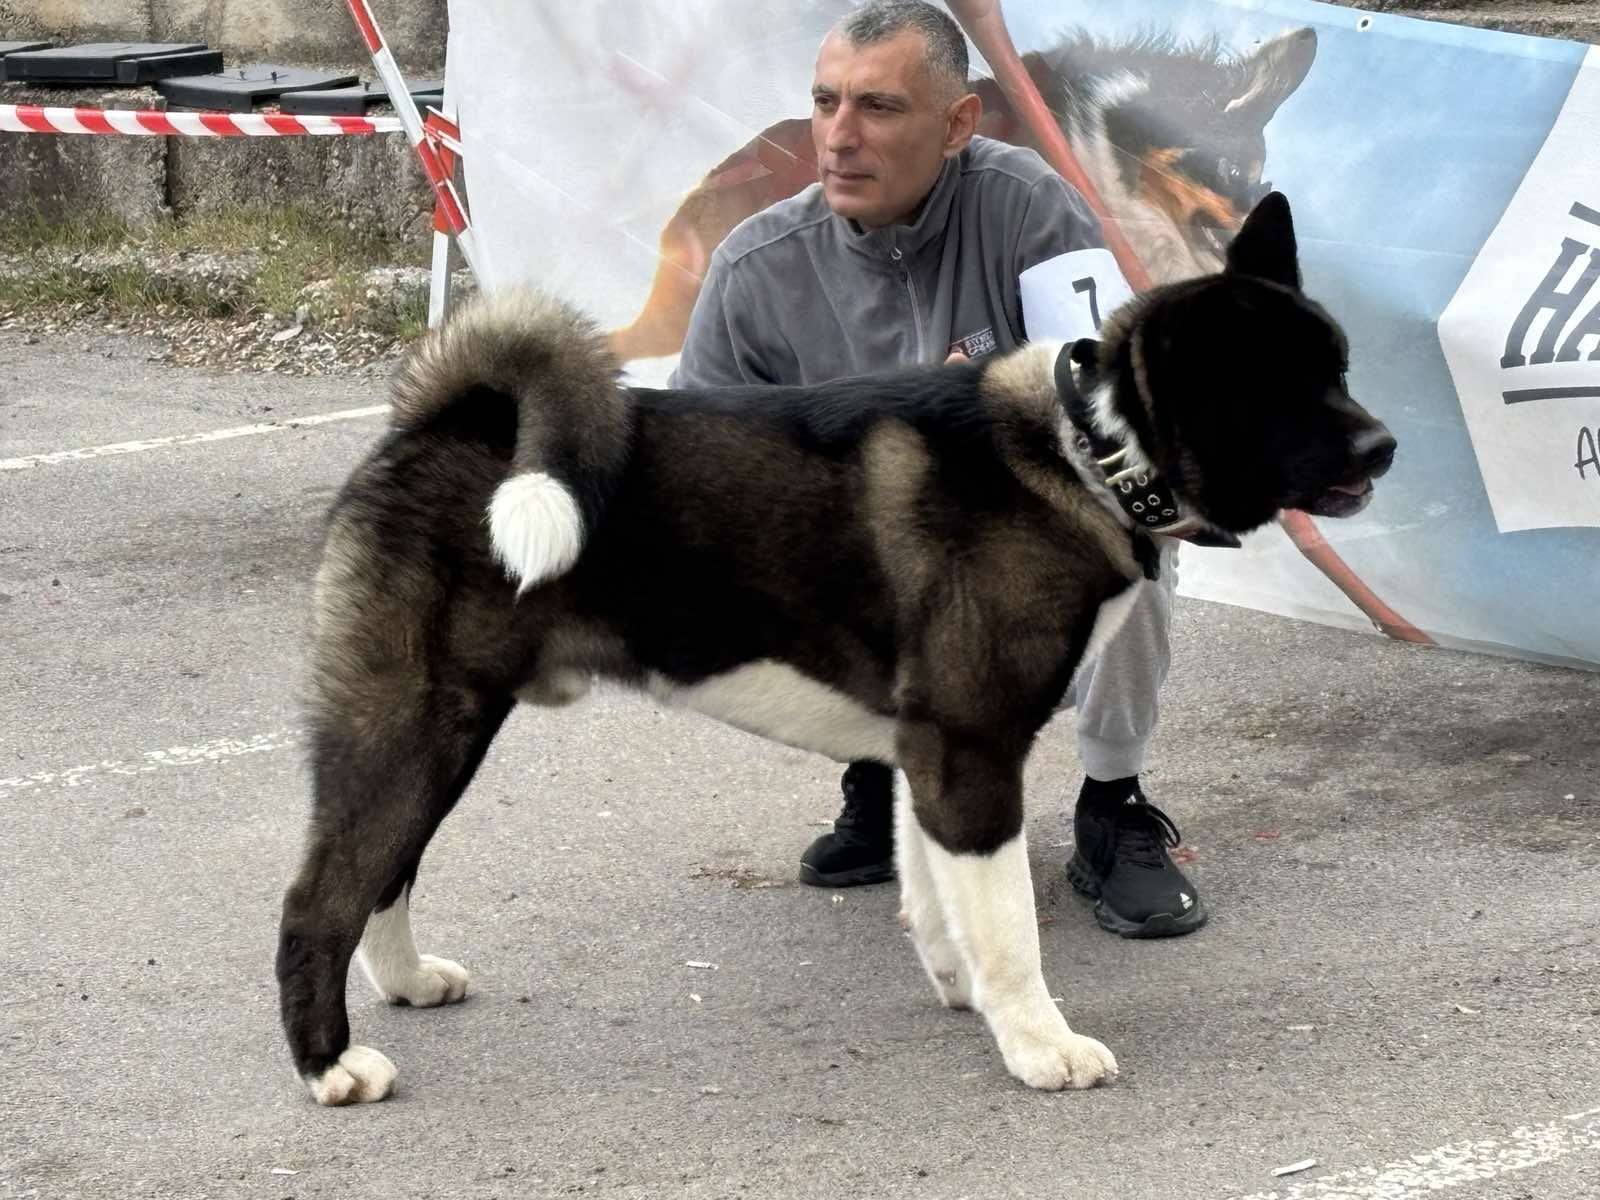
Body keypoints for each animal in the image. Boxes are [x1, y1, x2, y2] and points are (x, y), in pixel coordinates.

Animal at [276, 192, 1395, 1104]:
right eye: (1286, 390)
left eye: (1339, 368)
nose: (1383, 446)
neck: (1087, 449)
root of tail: (439, 422)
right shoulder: (974, 749)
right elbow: (1007, 926)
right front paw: (1039, 1044)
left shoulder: (927, 753)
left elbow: (939, 896)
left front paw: (962, 991)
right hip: (415, 725)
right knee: (320, 896)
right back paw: (330, 1066)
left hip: (446, 731)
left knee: (383, 874)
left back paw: (408, 982)